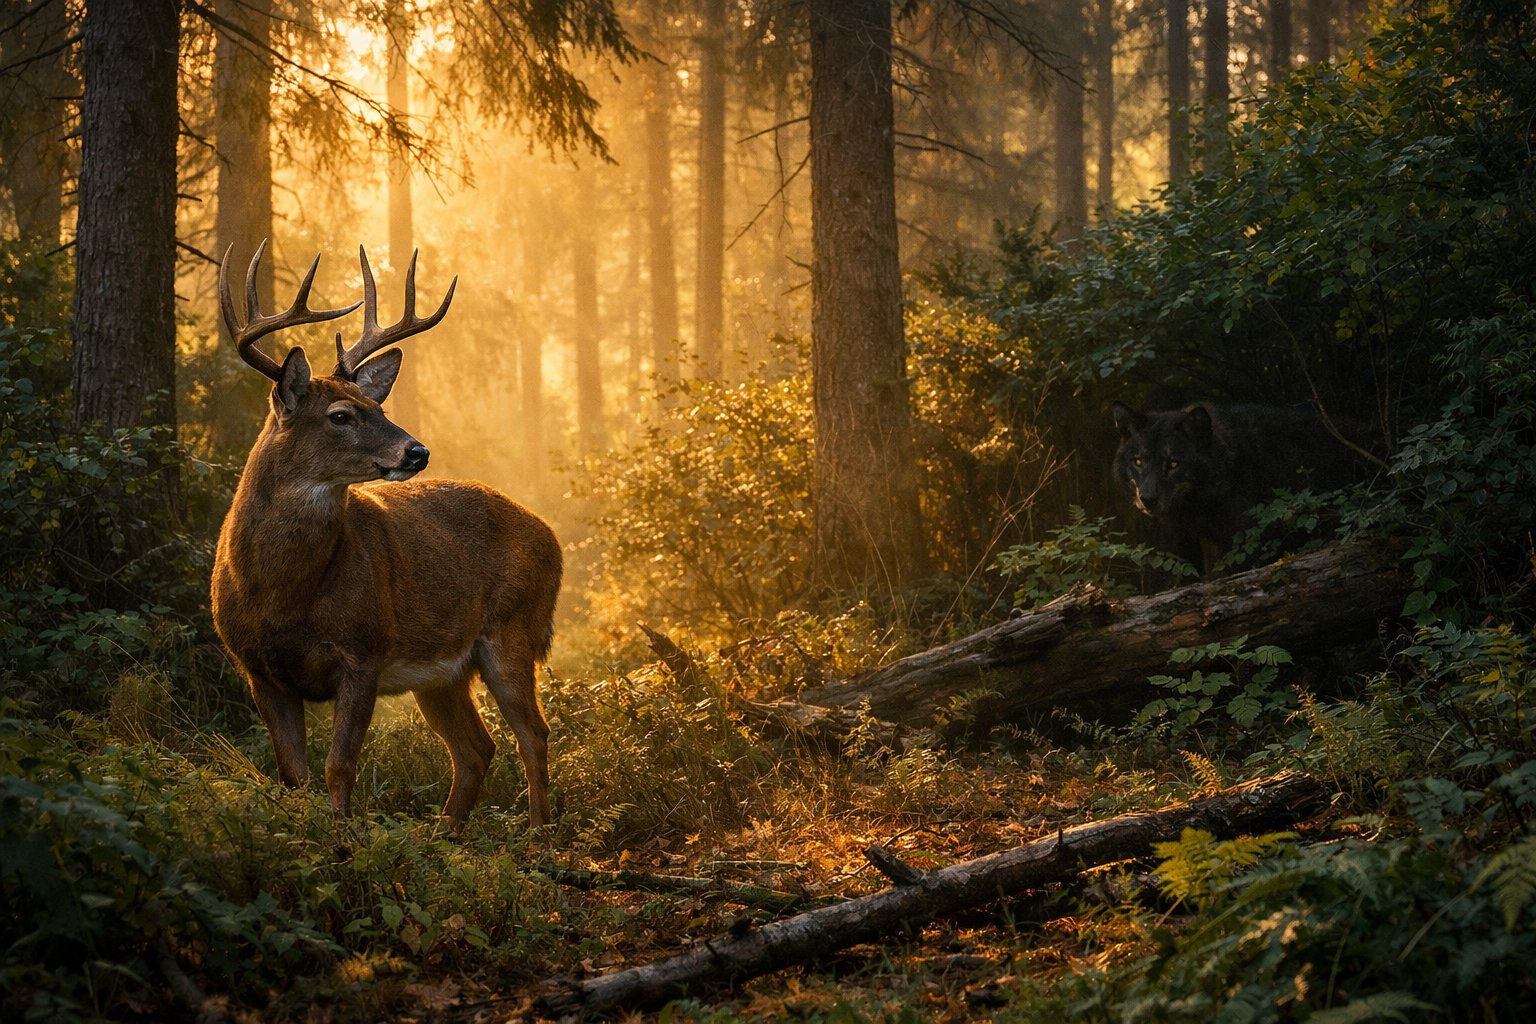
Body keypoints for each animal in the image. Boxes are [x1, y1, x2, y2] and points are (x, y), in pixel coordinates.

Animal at [210, 240, 562, 831]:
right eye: (340, 414)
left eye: (379, 406)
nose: (416, 451)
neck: (283, 595)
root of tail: (553, 539)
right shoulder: (258, 669)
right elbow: (293, 776)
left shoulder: (364, 652)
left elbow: (339, 767)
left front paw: (344, 842)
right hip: (442, 673)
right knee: (476, 748)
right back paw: (446, 836)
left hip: (512, 630)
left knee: (533, 735)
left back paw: (539, 839)